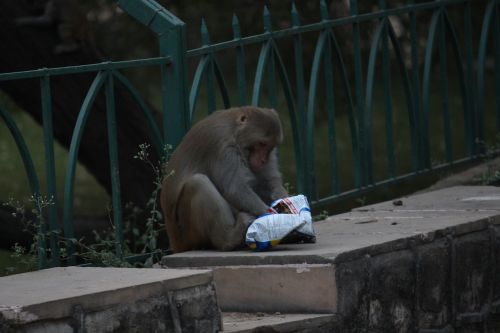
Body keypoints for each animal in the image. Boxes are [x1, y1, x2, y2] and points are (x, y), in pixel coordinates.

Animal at [160, 106, 286, 252]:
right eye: (262, 143)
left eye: (270, 146)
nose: (263, 160)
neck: (234, 130)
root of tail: (175, 241)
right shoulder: (222, 145)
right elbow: (235, 189)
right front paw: (271, 215)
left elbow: (268, 182)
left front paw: (284, 201)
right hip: (187, 231)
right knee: (199, 182)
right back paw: (229, 239)